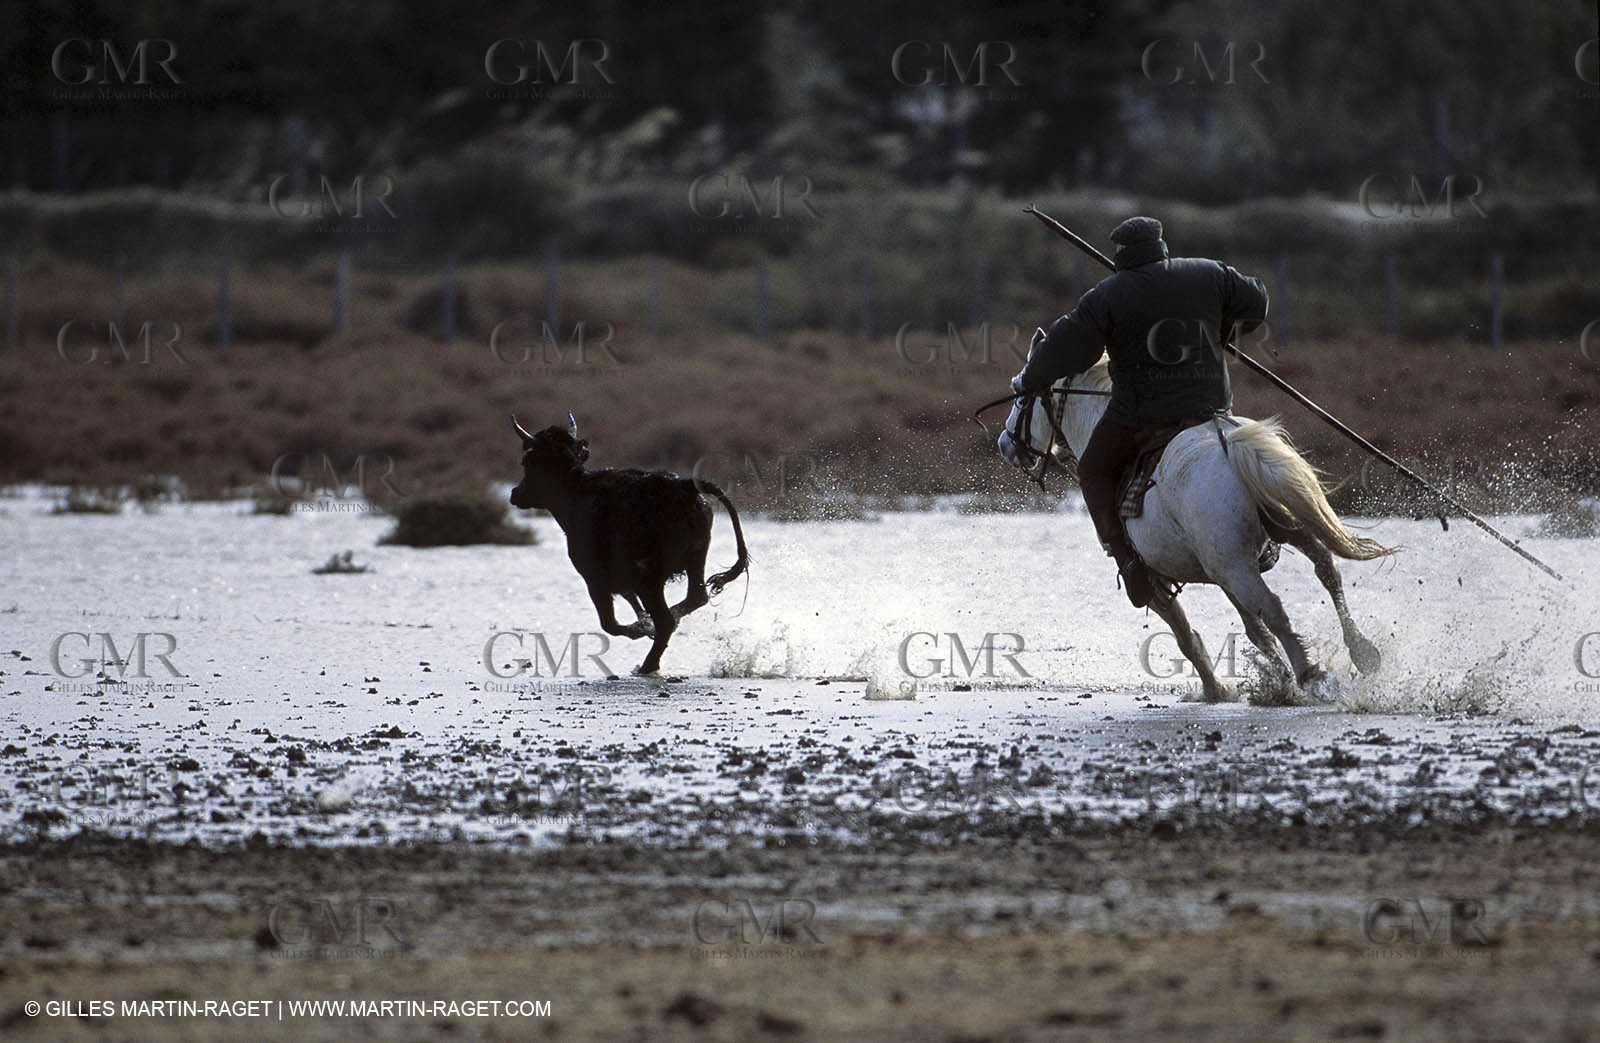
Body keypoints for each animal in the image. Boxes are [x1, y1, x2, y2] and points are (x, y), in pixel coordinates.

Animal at [508, 414, 750, 675]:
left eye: (527, 462)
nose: (515, 493)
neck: (577, 491)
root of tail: (682, 485)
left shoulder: (595, 580)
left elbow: (610, 624)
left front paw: (642, 628)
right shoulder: (622, 583)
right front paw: (643, 623)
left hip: (651, 580)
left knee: (665, 619)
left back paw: (647, 664)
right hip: (695, 559)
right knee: (696, 598)